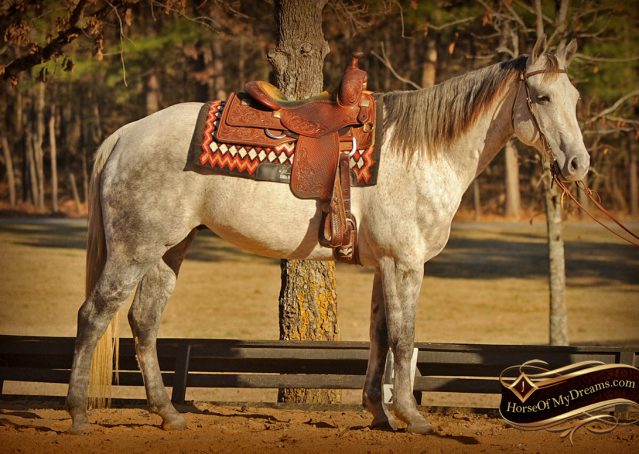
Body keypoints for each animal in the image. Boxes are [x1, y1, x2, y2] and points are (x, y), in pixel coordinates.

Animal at [65, 40, 592, 436]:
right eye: (542, 98)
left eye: (575, 98)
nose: (578, 164)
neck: (423, 151)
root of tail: (125, 135)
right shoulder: (406, 263)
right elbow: (404, 336)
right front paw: (412, 416)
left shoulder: (385, 266)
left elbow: (380, 337)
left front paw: (380, 414)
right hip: (134, 250)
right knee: (94, 315)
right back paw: (78, 414)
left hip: (168, 250)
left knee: (143, 320)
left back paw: (168, 413)